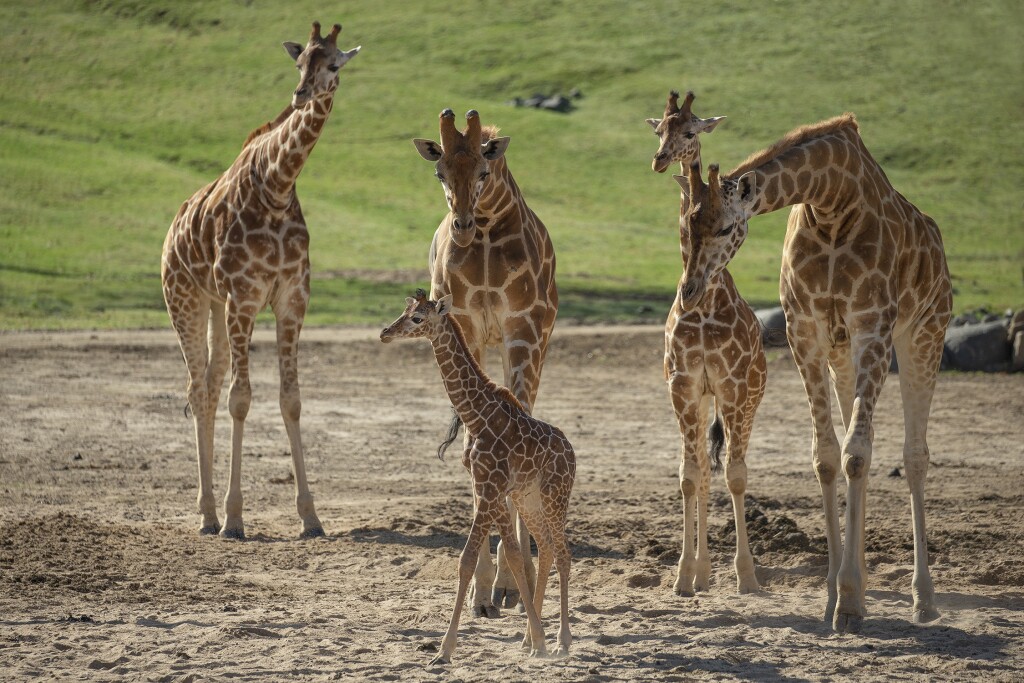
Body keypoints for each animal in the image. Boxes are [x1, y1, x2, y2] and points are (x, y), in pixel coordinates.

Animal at [161, 21, 362, 540]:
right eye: (300, 61)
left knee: (209, 385)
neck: (277, 187)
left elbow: (291, 400)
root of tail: (171, 229)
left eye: (334, 63)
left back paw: (209, 512)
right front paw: (235, 518)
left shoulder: (291, 297)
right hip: (185, 298)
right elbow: (242, 399)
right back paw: (209, 514)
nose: (302, 93)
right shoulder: (244, 297)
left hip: (214, 303)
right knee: (197, 388)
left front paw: (310, 517)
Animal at [382, 290, 581, 663]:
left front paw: (444, 650)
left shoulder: (490, 490)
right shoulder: (490, 488)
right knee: (547, 547)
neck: (477, 417)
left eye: (417, 318)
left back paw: (563, 641)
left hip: (555, 495)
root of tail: (572, 452)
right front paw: (535, 639)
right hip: (528, 498)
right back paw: (533, 640)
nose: (385, 332)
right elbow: (514, 555)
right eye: (405, 310)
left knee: (563, 553)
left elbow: (467, 560)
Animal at [409, 111, 561, 614]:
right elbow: (467, 448)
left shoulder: (524, 331)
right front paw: (481, 588)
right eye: (440, 172)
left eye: (483, 170)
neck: (490, 232)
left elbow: (520, 430)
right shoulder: (467, 327)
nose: (462, 224)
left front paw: (513, 583)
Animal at [679, 113, 950, 634]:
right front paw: (835, 595)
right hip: (843, 354)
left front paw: (849, 604)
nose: (690, 290)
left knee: (914, 454)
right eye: (686, 226)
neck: (830, 204)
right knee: (860, 439)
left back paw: (923, 600)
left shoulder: (873, 324)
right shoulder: (805, 329)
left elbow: (856, 455)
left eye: (726, 227)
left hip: (925, 333)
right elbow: (829, 456)